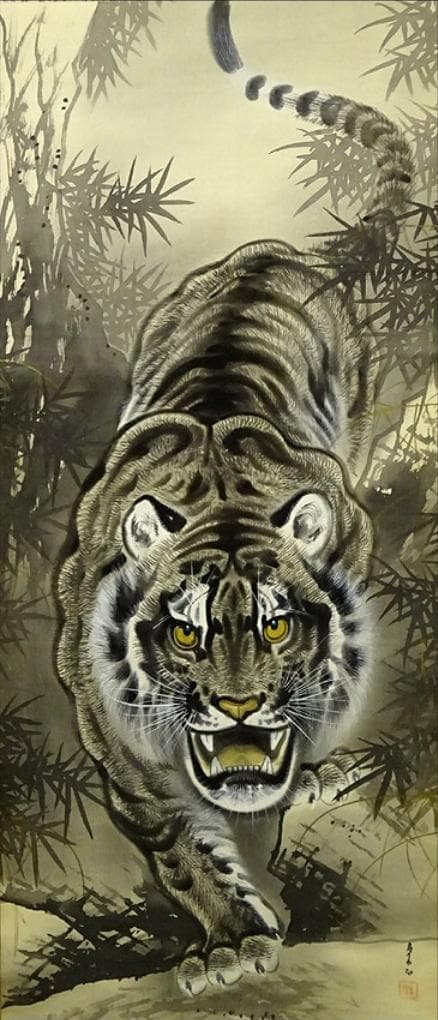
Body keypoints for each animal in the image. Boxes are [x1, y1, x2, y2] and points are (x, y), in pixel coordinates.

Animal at [56, 0, 414, 996]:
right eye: (184, 635)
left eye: (278, 624)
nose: (243, 706)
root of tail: (282, 254)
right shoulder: (117, 750)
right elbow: (184, 849)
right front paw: (229, 941)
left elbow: (264, 799)